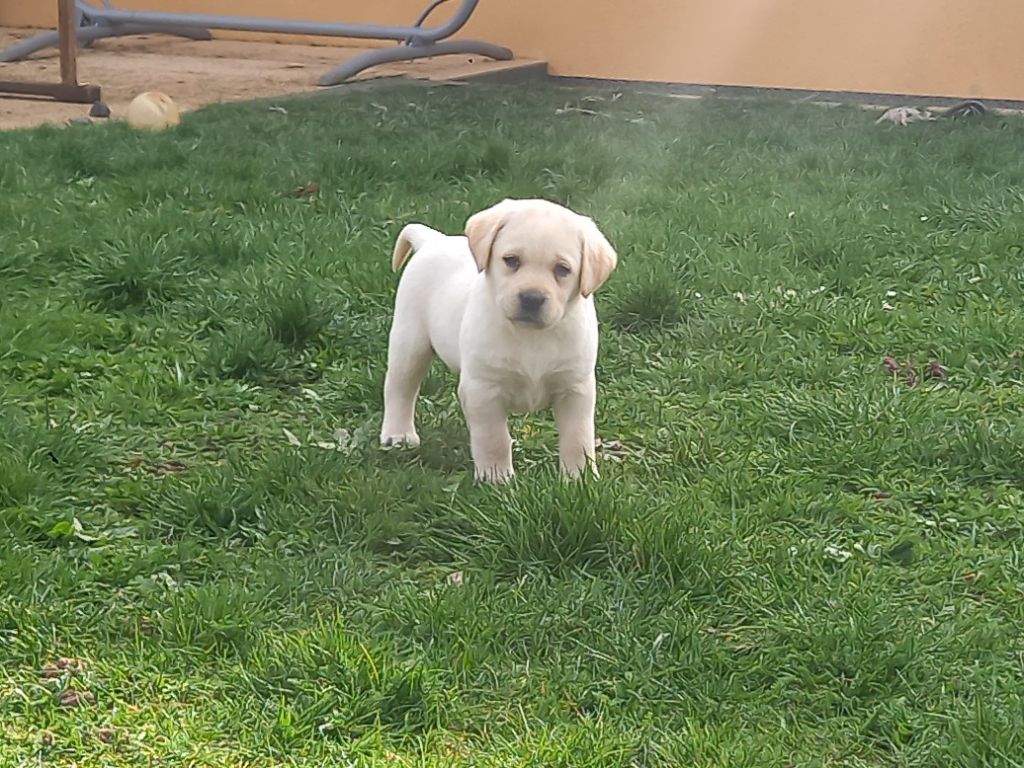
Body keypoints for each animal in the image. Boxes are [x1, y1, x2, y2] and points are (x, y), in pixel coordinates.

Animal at [380, 198, 618, 482]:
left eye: (563, 269)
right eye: (511, 260)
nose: (531, 298)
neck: (532, 336)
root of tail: (434, 240)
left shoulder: (575, 387)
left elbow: (578, 437)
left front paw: (579, 478)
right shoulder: (484, 389)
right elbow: (494, 438)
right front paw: (496, 478)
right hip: (410, 341)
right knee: (400, 388)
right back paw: (398, 434)